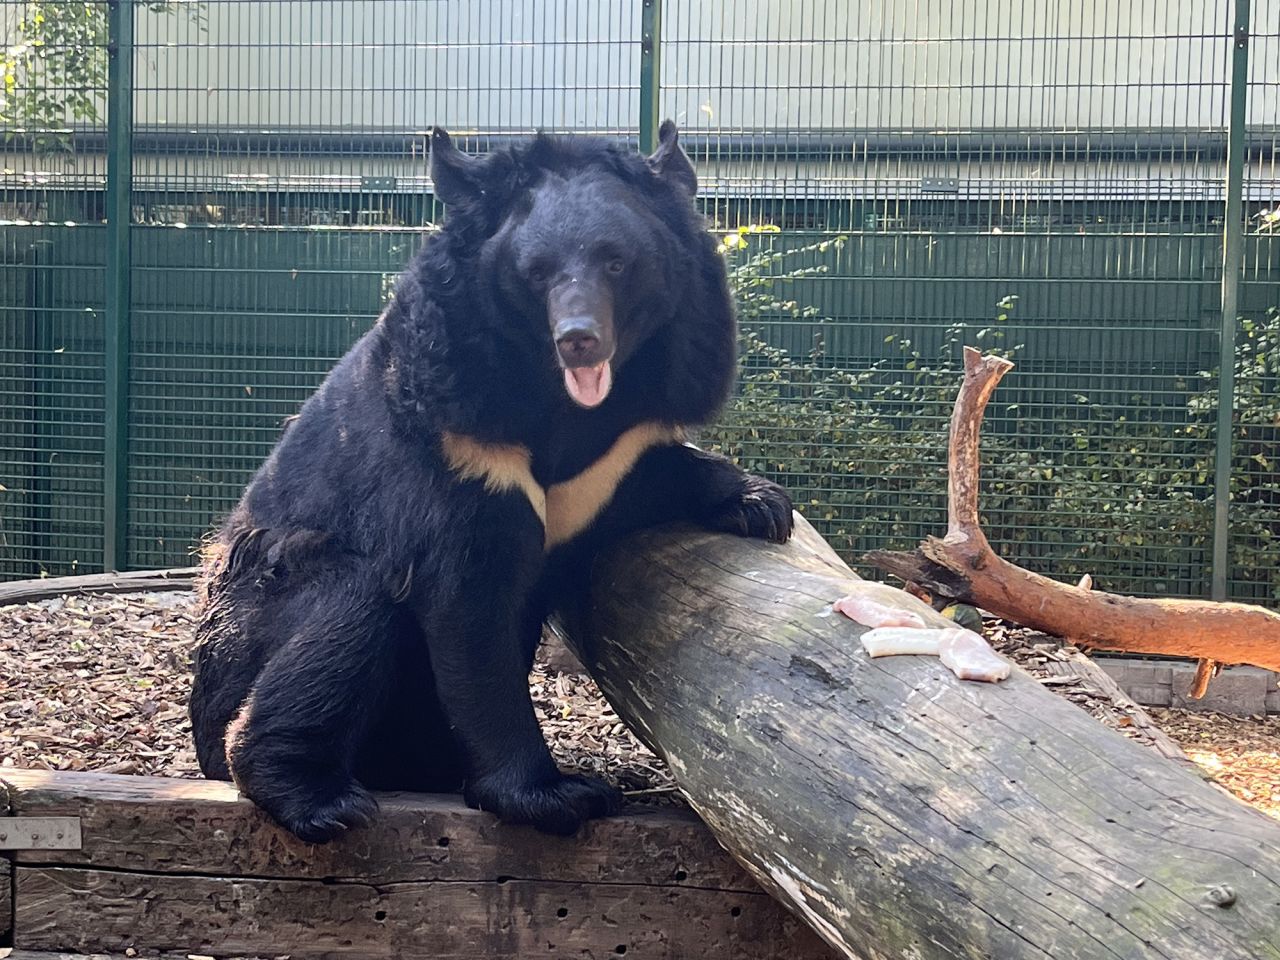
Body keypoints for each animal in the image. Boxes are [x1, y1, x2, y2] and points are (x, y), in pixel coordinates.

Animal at [188, 122, 788, 849]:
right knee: (350, 609)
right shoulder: (456, 443)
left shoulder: (617, 447)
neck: (559, 400)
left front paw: (760, 505)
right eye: (536, 273)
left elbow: (650, 472)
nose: (580, 340)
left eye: (617, 263)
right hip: (251, 618)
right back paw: (320, 799)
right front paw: (556, 795)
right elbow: (471, 606)